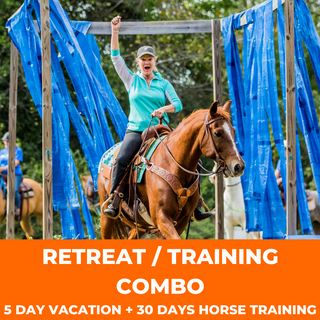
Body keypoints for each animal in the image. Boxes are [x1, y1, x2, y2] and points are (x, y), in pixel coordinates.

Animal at [97, 101, 245, 239]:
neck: (173, 165)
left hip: (141, 226)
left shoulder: (181, 221)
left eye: (233, 131)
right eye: (218, 133)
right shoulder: (161, 217)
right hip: (107, 218)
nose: (239, 166)